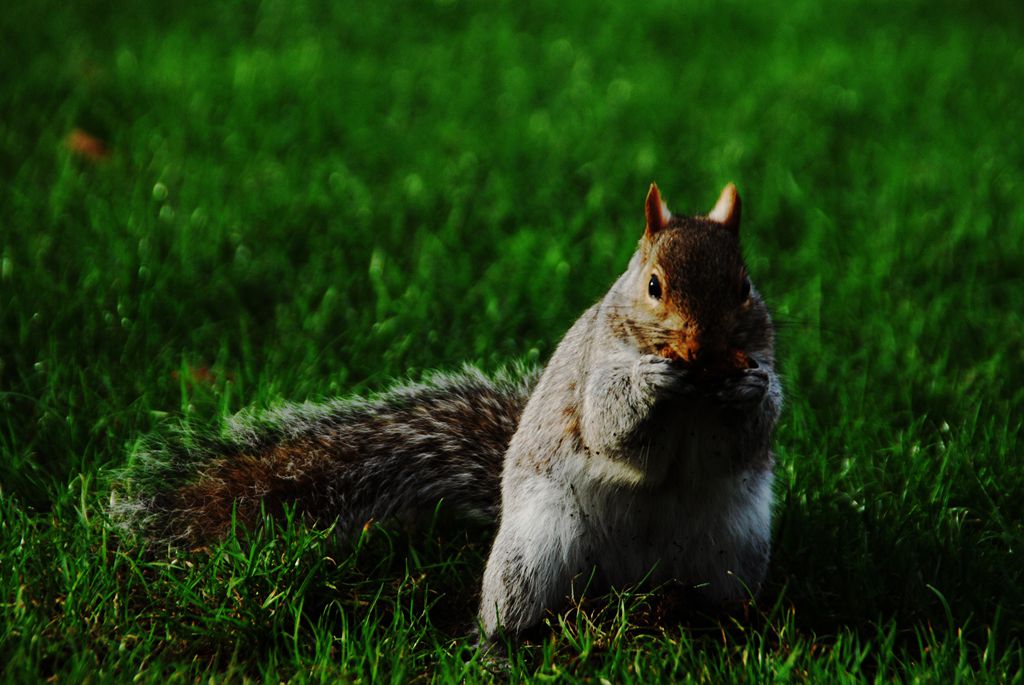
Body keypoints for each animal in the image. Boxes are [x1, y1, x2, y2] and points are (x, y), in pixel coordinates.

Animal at [110, 181, 782, 643]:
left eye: (745, 288)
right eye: (653, 286)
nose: (704, 347)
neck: (696, 390)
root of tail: (632, 581)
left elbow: (744, 437)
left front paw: (751, 388)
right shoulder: (595, 373)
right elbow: (610, 429)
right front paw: (650, 381)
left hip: (735, 552)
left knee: (726, 597)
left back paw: (742, 629)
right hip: (533, 553)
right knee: (508, 611)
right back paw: (499, 650)